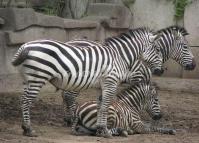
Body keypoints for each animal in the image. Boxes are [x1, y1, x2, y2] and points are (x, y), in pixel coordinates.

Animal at [11, 27, 163, 137]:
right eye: (157, 49)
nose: (161, 71)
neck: (120, 56)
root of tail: (25, 46)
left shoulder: (101, 86)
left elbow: (101, 105)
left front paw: (100, 129)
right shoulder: (111, 82)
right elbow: (105, 106)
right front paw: (105, 131)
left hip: (28, 79)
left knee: (23, 99)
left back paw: (25, 128)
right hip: (37, 78)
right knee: (27, 101)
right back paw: (29, 129)